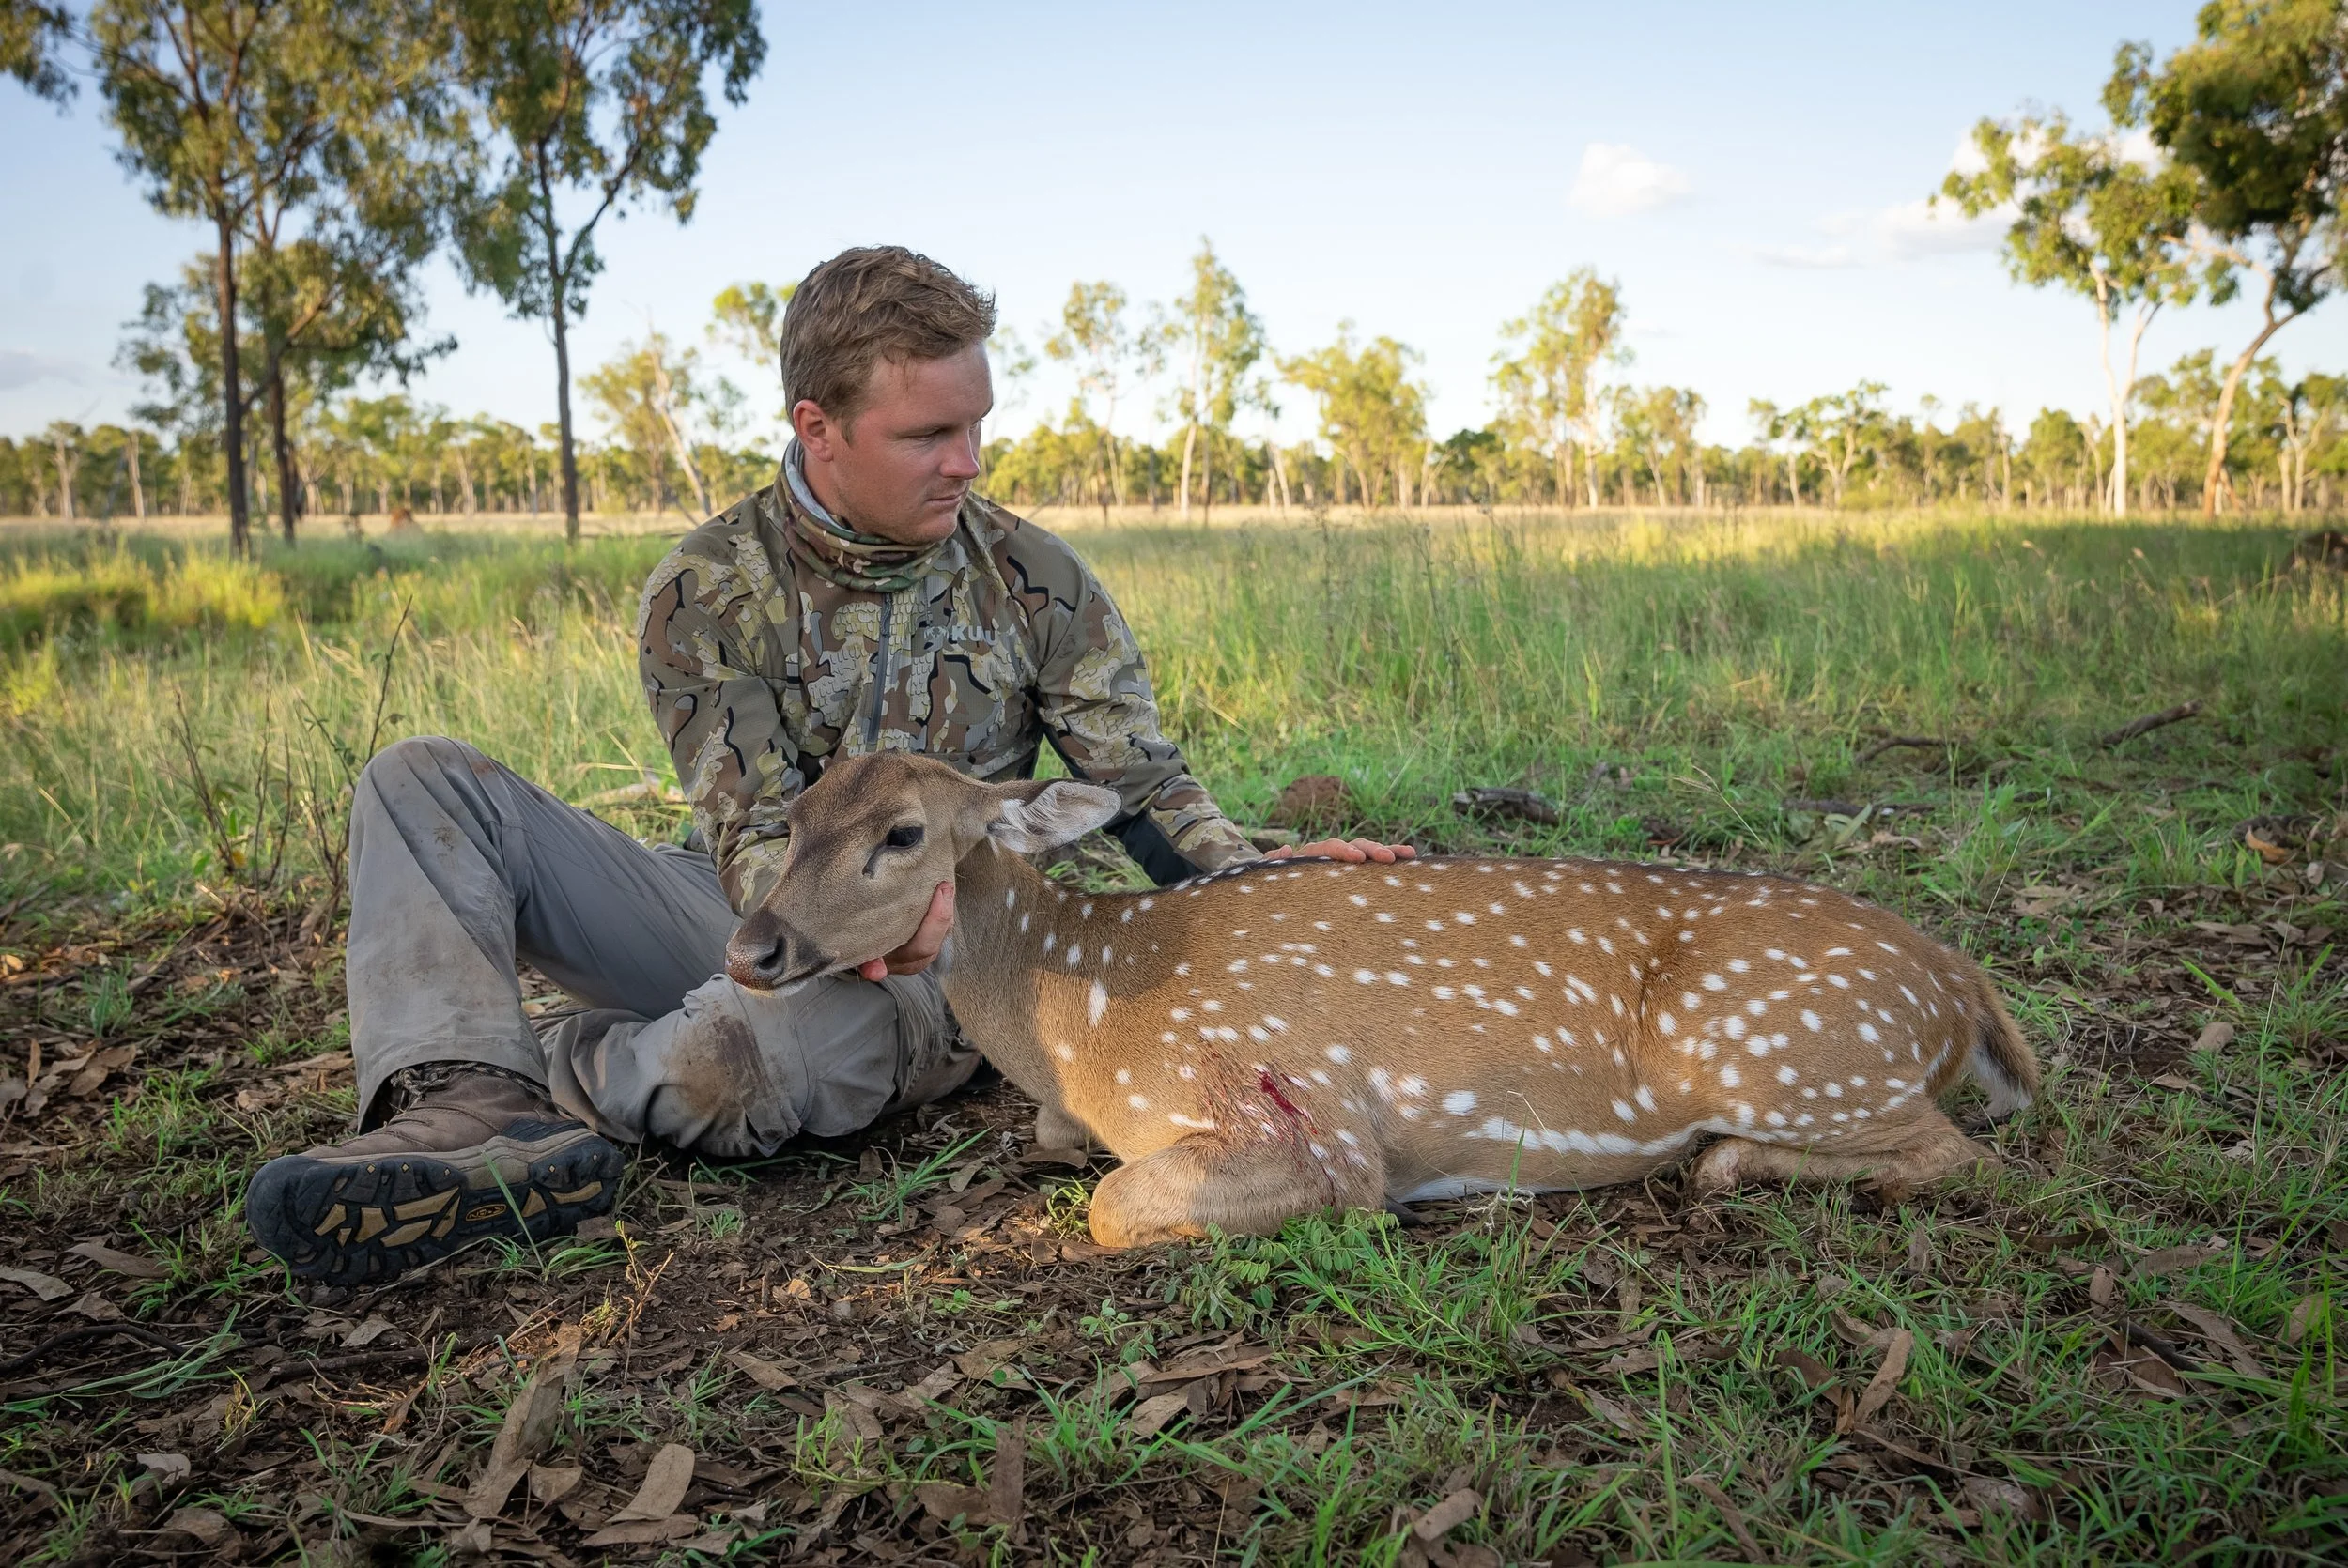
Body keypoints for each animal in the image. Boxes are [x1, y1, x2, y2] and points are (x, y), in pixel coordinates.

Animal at [726, 754, 2038, 1248]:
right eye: (791, 813)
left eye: (903, 833)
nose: (753, 943)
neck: (1080, 1014)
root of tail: (1959, 980)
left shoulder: (1306, 1117)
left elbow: (1109, 1203)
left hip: (1781, 1045)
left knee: (1966, 1154)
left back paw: (1721, 1162)